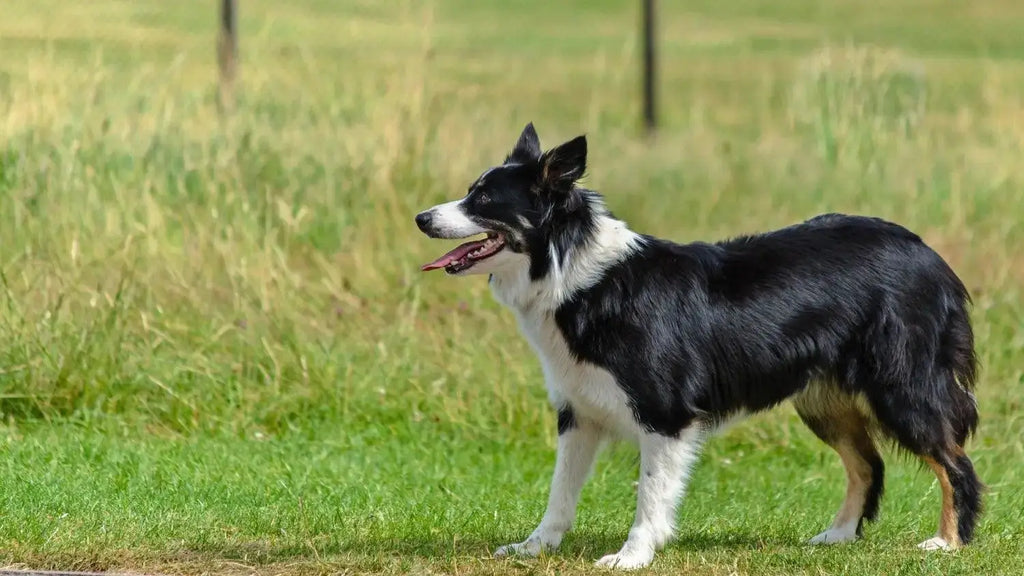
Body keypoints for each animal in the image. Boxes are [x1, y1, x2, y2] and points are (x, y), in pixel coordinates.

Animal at [415, 123, 983, 565]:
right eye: (470, 192)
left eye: (483, 200)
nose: (421, 218)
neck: (573, 273)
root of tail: (927, 252)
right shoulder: (578, 412)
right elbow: (559, 494)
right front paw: (535, 548)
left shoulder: (664, 414)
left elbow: (650, 495)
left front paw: (632, 556)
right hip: (822, 399)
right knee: (868, 465)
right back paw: (839, 536)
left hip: (902, 387)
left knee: (955, 463)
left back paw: (948, 542)